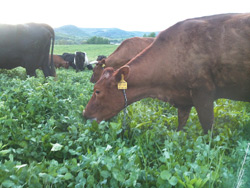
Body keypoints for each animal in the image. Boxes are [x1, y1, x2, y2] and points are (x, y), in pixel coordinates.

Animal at [83, 12, 250, 134]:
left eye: (97, 91)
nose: (84, 113)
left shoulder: (203, 94)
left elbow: (208, 130)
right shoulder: (184, 99)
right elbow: (180, 127)